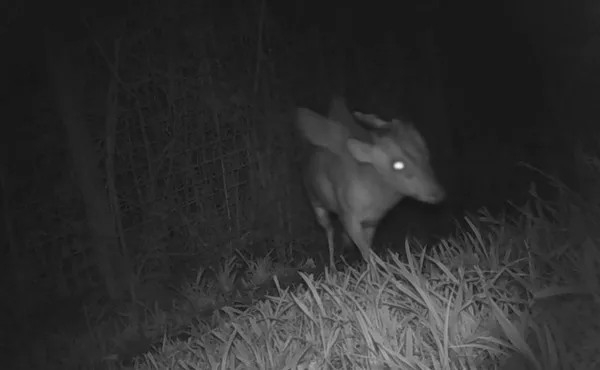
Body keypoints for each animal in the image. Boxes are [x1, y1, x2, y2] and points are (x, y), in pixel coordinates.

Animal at [296, 97, 446, 268]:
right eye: (397, 164)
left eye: (426, 153)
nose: (438, 193)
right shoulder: (348, 216)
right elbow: (366, 252)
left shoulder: (372, 222)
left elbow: (367, 250)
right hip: (316, 202)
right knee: (329, 230)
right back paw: (333, 265)